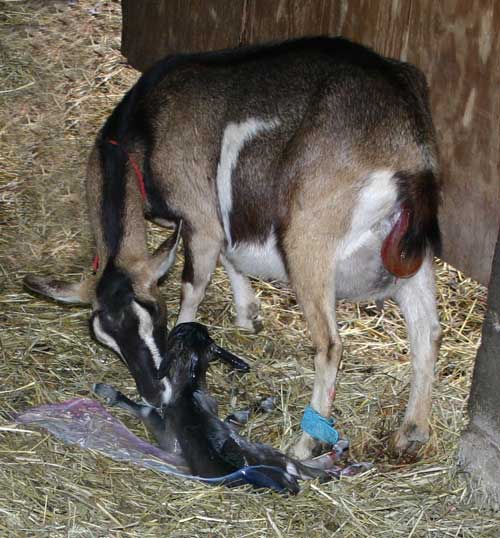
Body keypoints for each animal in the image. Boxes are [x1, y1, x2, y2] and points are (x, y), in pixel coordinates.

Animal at [23, 38, 440, 456]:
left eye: (153, 313)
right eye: (103, 337)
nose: (153, 392)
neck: (145, 127)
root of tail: (408, 151)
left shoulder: (198, 214)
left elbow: (193, 286)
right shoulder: (209, 219)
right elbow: (229, 252)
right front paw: (248, 313)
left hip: (308, 241)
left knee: (330, 345)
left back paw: (305, 443)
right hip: (411, 256)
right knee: (428, 332)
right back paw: (412, 431)